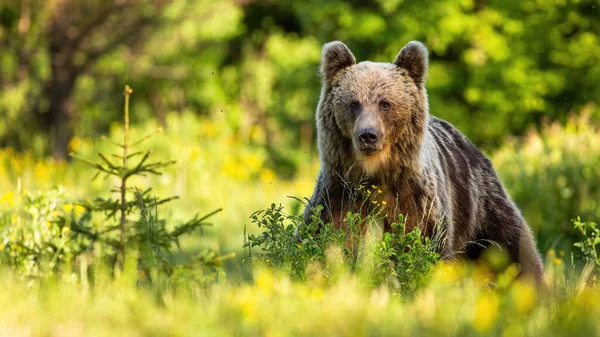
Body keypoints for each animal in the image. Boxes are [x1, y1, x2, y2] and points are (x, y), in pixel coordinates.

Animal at [304, 40, 544, 280]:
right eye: (354, 103)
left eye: (385, 104)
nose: (368, 135)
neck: (376, 174)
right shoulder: (339, 195)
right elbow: (329, 238)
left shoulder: (417, 201)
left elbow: (426, 246)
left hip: (481, 203)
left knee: (512, 245)